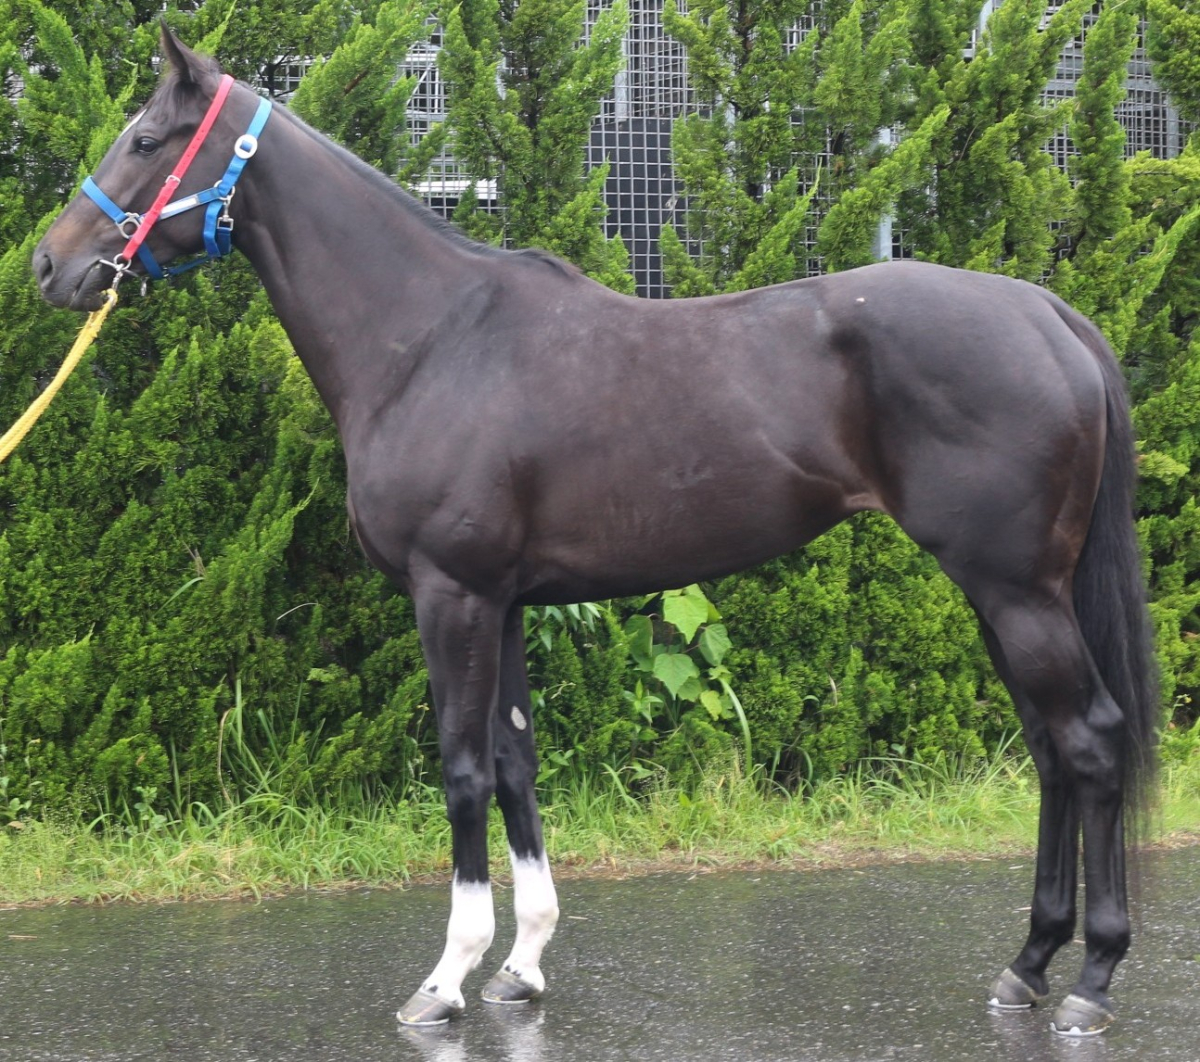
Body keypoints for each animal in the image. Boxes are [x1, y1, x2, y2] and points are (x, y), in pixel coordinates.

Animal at [33, 28, 1157, 1037]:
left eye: (144, 138)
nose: (49, 265)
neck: (430, 337)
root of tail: (1051, 315)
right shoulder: (505, 602)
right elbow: (517, 765)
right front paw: (522, 966)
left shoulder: (452, 595)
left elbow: (462, 771)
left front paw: (446, 980)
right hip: (1006, 595)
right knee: (1051, 751)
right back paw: (1027, 966)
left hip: (1016, 590)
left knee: (1091, 743)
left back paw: (1093, 982)